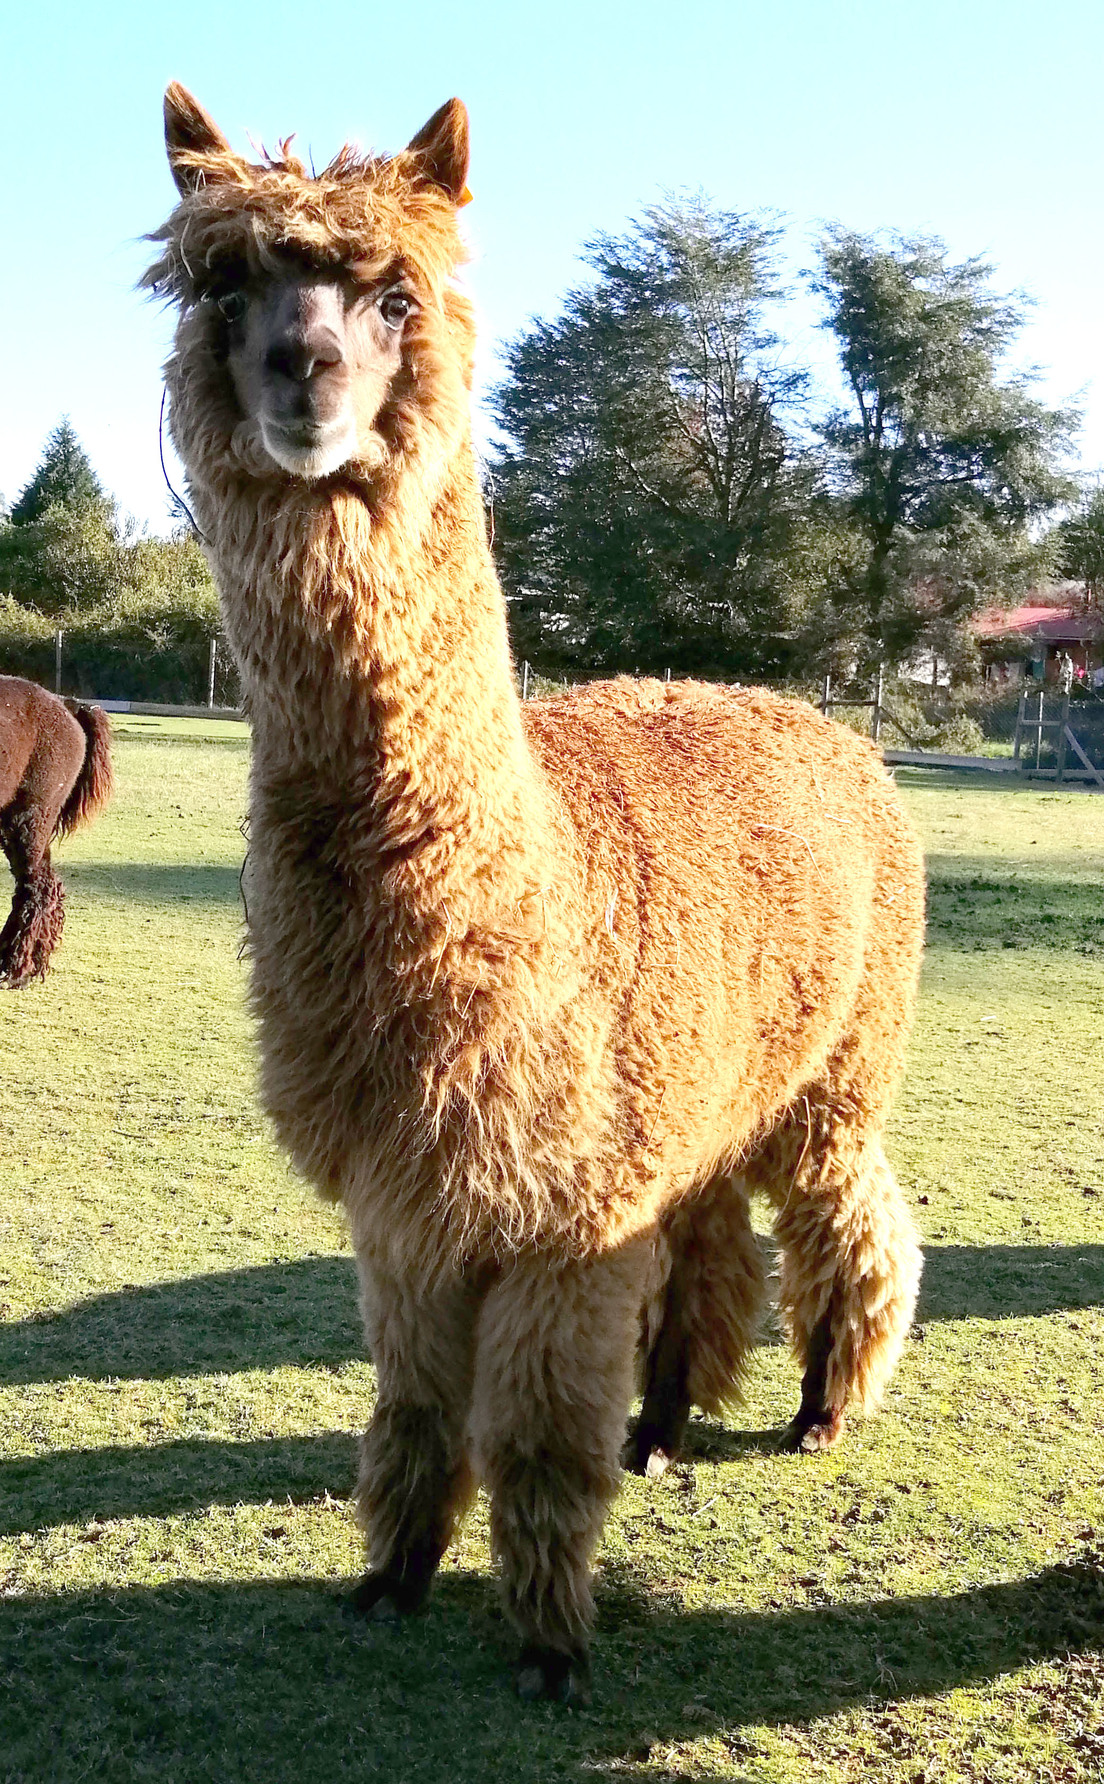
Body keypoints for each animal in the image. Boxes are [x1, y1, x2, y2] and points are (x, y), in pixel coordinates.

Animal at [147, 86, 925, 1704]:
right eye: (224, 287)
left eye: (396, 294)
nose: (301, 370)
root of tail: (829, 725)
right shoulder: (411, 1203)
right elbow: (417, 1414)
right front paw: (389, 1576)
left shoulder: (561, 1209)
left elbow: (537, 1441)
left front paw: (554, 1644)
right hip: (700, 1088)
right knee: (712, 1247)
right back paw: (670, 1422)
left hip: (836, 1064)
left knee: (853, 1215)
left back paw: (826, 1404)